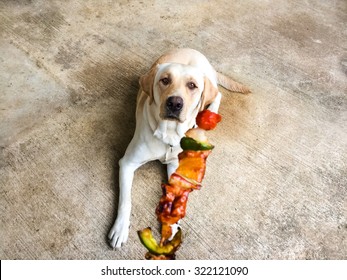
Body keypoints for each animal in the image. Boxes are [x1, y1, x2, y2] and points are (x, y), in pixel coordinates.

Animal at [109, 48, 250, 249]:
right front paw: (120, 229)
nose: (175, 103)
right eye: (165, 80)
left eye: (192, 85)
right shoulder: (127, 163)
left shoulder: (176, 167)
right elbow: (125, 201)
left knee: (217, 95)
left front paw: (172, 224)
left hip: (210, 87)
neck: (168, 134)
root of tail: (192, 50)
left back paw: (209, 114)